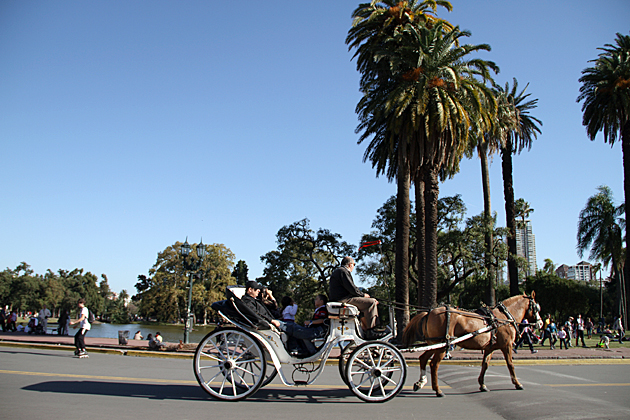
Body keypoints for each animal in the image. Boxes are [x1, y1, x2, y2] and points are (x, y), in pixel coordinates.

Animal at [404, 292, 544, 398]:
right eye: (537, 307)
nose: (541, 323)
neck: (503, 318)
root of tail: (429, 312)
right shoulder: (507, 345)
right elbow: (510, 365)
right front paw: (517, 383)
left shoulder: (489, 348)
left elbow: (485, 365)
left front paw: (482, 385)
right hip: (443, 345)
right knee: (434, 365)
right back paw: (438, 390)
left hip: (434, 344)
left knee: (423, 358)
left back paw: (421, 382)